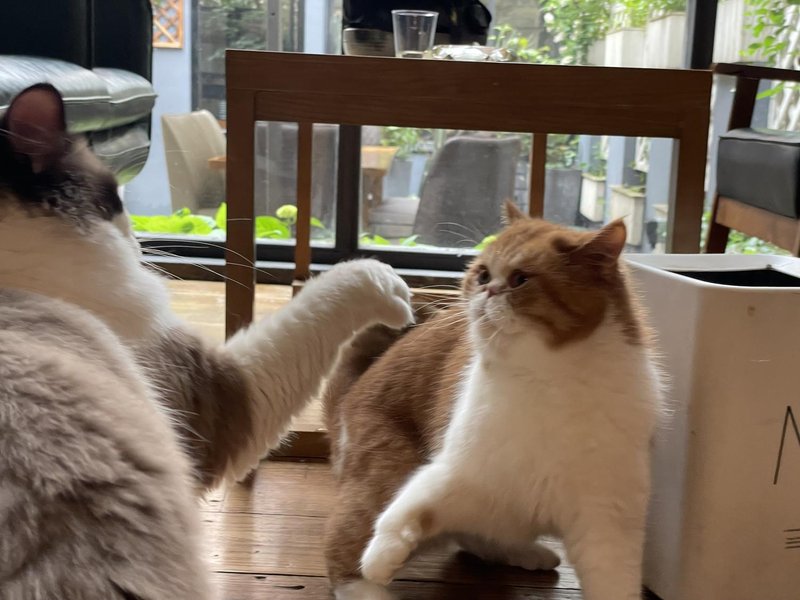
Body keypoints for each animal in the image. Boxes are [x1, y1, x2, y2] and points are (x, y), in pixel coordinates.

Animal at [323, 204, 664, 600]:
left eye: (520, 279)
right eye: (483, 273)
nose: (488, 289)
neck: (548, 381)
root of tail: (353, 389)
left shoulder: (605, 519)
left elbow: (613, 580)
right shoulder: (460, 472)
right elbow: (404, 510)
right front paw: (381, 557)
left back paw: (522, 551)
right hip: (388, 465)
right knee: (343, 546)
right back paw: (368, 587)